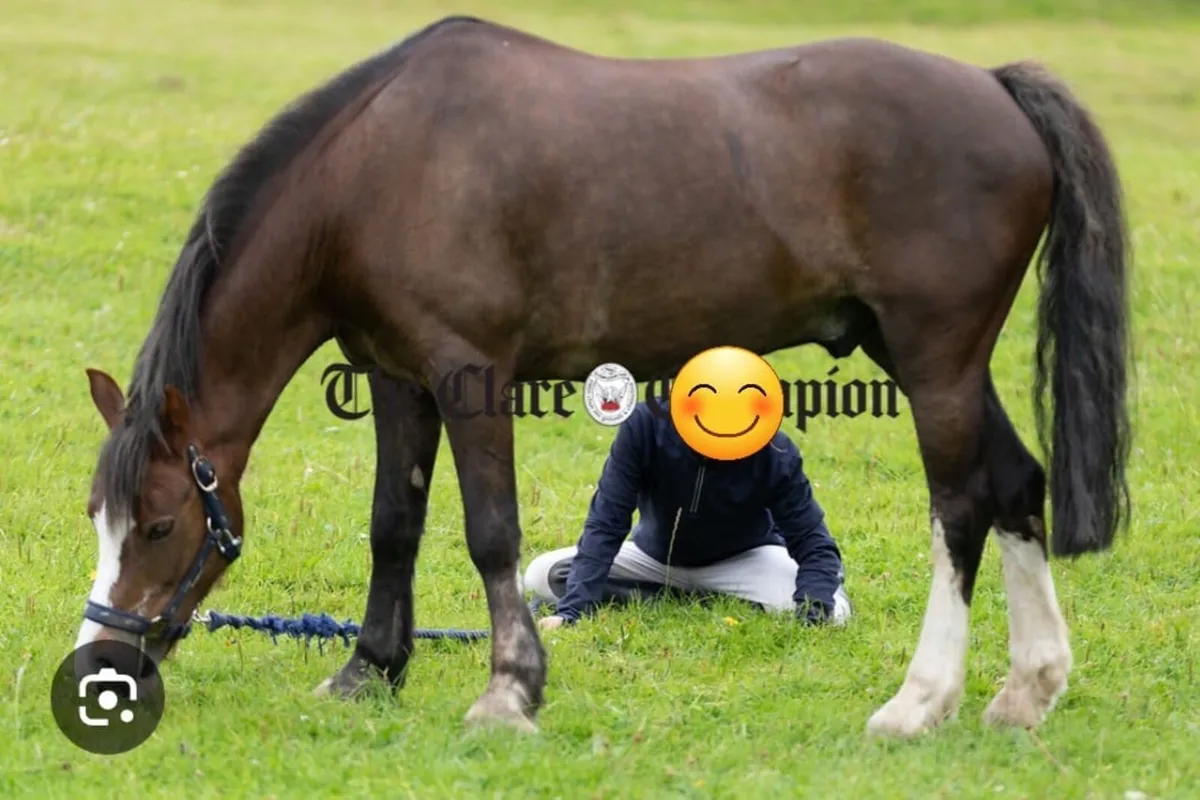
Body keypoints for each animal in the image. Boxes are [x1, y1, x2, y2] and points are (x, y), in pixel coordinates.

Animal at [76, 15, 1131, 737]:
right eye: (100, 519)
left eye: (160, 524)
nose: (101, 665)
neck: (380, 170)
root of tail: (995, 88)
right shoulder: (398, 381)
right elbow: (394, 527)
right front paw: (368, 672)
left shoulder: (468, 372)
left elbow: (489, 533)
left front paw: (509, 691)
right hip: (924, 356)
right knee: (1015, 484)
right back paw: (1025, 691)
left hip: (933, 359)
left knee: (961, 506)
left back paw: (919, 702)